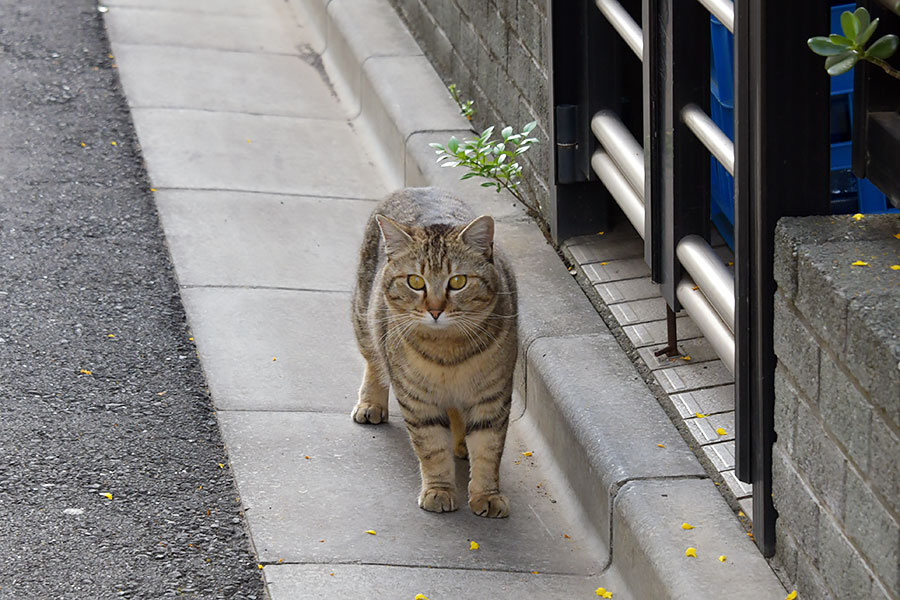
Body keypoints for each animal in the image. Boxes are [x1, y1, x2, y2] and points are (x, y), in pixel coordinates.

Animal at [354, 186, 520, 516]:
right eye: (415, 281)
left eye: (458, 281)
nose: (434, 310)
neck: (449, 353)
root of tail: (414, 187)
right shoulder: (418, 401)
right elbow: (432, 448)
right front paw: (440, 490)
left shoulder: (492, 397)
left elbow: (488, 449)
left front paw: (487, 494)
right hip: (363, 318)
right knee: (373, 362)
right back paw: (371, 403)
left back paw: (461, 442)